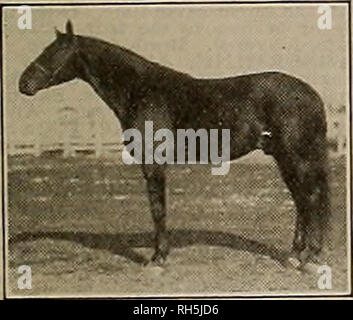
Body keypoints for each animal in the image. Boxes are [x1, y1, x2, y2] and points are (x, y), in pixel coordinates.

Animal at [18, 21, 330, 268]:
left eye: (54, 52)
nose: (23, 84)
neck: (141, 90)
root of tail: (311, 93)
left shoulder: (153, 164)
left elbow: (158, 209)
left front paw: (158, 258)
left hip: (295, 157)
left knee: (311, 198)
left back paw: (310, 256)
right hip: (284, 158)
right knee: (302, 201)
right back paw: (294, 256)